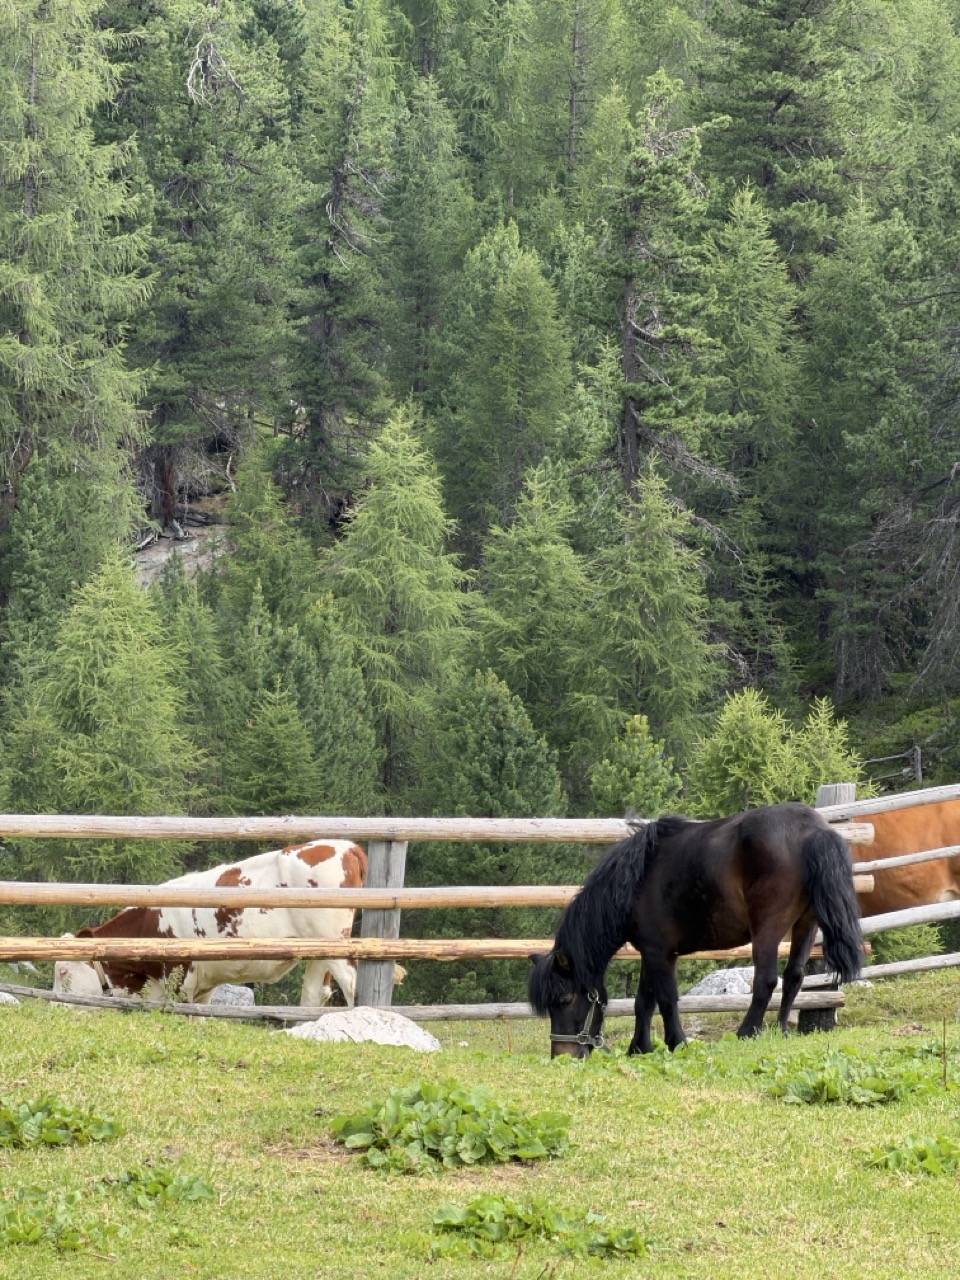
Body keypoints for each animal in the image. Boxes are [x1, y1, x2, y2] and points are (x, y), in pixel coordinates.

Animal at [529, 803, 863, 1057]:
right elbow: (643, 1002)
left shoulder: (660, 953)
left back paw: (746, 1033)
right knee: (794, 976)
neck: (635, 882)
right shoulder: (652, 953)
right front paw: (639, 1048)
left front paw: (676, 1043)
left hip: (768, 929)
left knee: (766, 981)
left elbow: (666, 999)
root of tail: (812, 829)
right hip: (806, 924)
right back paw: (779, 1030)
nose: (563, 1057)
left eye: (564, 1000)